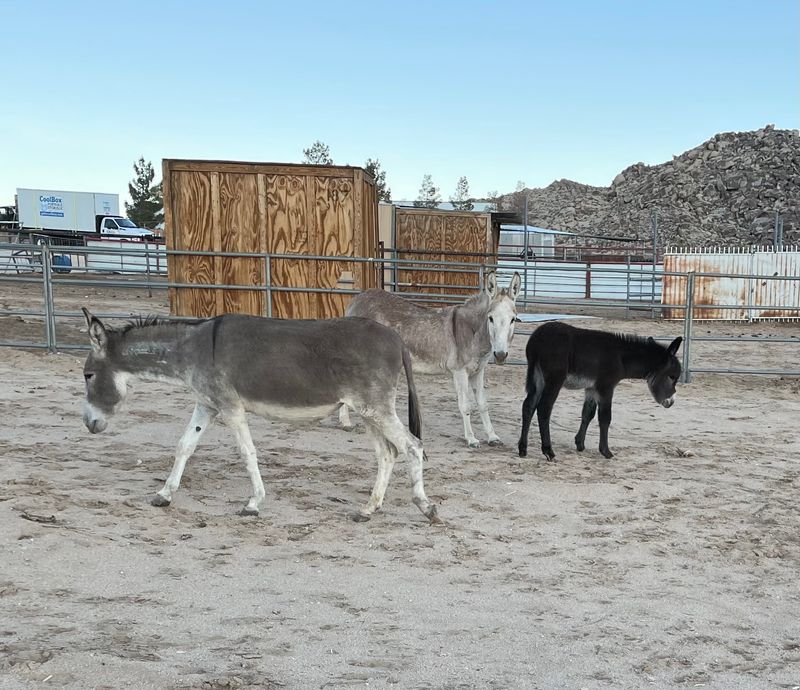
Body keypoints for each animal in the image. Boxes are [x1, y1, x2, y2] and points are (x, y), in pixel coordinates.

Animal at [80, 308, 439, 523]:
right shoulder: (207, 404)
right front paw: (164, 495)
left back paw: (426, 507)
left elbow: (247, 452)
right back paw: (368, 508)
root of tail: (397, 339)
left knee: (412, 446)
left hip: (375, 407)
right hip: (368, 412)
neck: (193, 348)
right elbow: (184, 446)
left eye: (87, 375)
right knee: (387, 453)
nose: (89, 424)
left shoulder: (230, 406)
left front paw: (253, 503)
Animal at [340, 271, 522, 448]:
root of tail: (356, 299)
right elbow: (465, 405)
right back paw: (346, 422)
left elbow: (483, 403)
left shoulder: (478, 371)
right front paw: (471, 439)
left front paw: (493, 437)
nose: (500, 355)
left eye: (513, 319)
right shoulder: (459, 371)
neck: (473, 333)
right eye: (490, 318)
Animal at [517, 321, 682, 461]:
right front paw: (606, 452)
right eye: (672, 377)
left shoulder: (592, 388)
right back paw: (548, 451)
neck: (621, 358)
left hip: (537, 377)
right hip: (554, 379)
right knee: (544, 408)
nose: (671, 402)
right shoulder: (606, 387)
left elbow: (588, 413)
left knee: (528, 405)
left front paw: (580, 444)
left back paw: (522, 449)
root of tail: (536, 340)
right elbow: (605, 418)